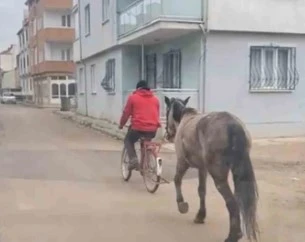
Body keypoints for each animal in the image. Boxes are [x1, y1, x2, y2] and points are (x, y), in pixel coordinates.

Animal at [165, 96, 258, 242]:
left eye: (167, 110)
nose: (168, 135)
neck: (186, 117)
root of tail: (232, 125)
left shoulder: (182, 162)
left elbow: (177, 180)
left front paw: (182, 205)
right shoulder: (202, 168)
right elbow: (201, 191)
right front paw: (200, 215)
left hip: (218, 176)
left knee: (231, 202)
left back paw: (233, 235)